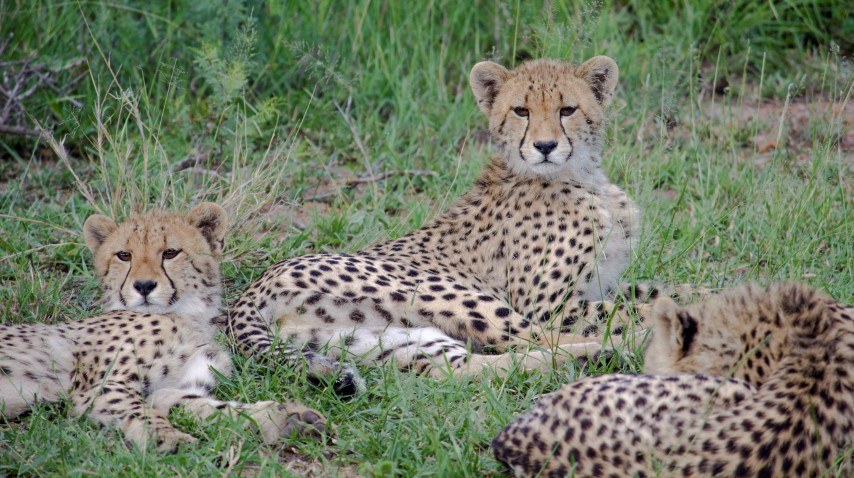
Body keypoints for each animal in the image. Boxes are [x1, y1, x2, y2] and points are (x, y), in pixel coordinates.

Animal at [0, 204, 328, 450]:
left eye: (170, 253)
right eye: (124, 255)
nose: (144, 286)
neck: (186, 316)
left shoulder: (172, 388)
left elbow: (202, 405)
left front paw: (284, 419)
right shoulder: (100, 385)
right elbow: (139, 411)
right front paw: (167, 437)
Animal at [227, 56, 688, 380]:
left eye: (567, 109)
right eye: (521, 111)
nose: (544, 146)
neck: (583, 177)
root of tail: (249, 291)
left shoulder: (599, 285)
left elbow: (659, 291)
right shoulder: (550, 306)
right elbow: (629, 310)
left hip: (374, 336)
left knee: (455, 369)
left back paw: (593, 358)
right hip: (455, 295)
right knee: (529, 339)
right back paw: (625, 348)